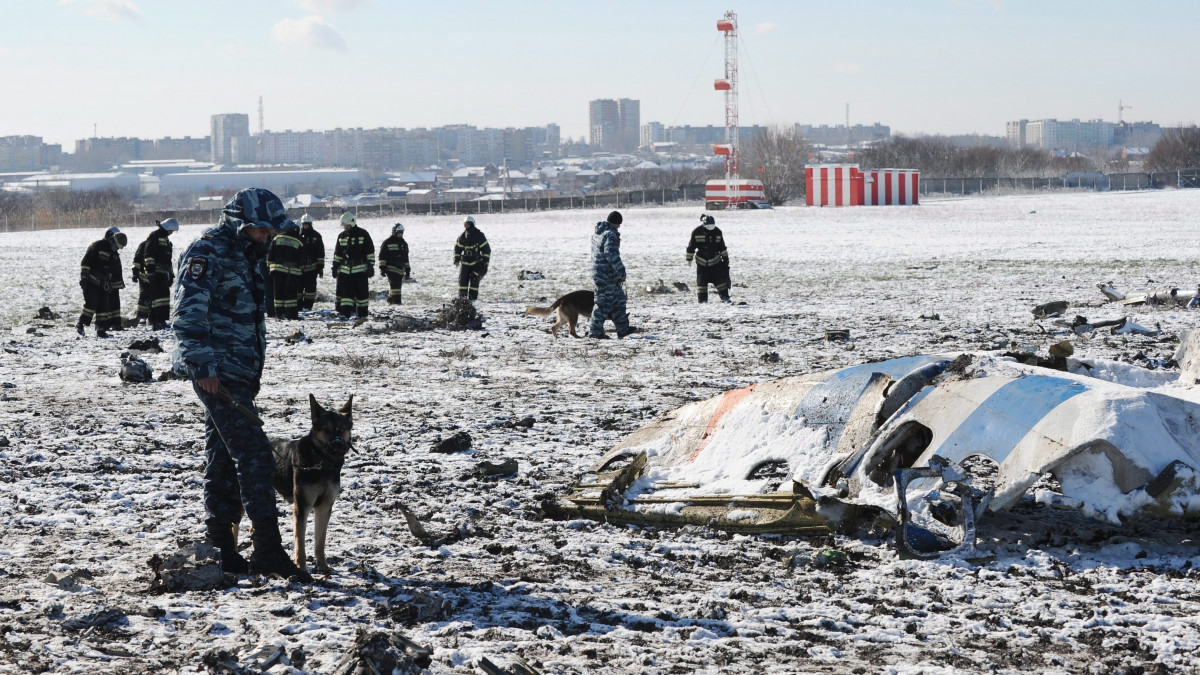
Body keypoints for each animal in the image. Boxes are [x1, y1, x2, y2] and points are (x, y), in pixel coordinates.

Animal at [270, 391, 350, 569]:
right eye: (326, 430)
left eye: (342, 429)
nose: (339, 445)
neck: (322, 463)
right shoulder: (302, 506)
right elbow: (300, 542)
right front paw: (301, 568)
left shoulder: (325, 506)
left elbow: (320, 540)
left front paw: (323, 567)